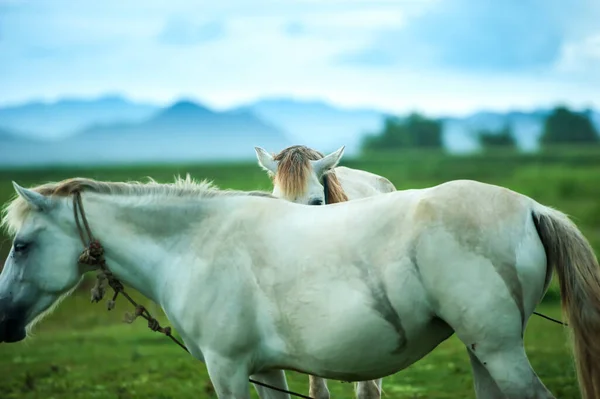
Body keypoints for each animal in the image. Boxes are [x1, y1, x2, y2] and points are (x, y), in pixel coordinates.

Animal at [1, 177, 600, 399]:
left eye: (21, 245)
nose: (2, 319)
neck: (196, 242)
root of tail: (531, 206)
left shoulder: (228, 369)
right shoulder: (266, 369)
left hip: (499, 352)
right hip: (482, 352)